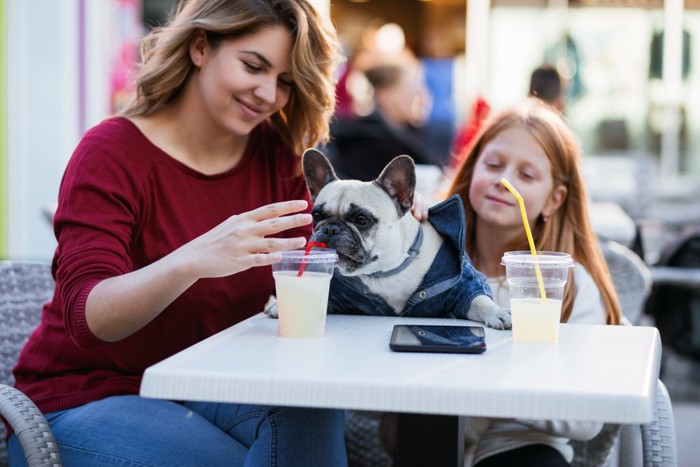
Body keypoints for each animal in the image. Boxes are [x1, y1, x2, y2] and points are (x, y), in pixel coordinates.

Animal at [266, 148, 512, 330]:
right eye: (317, 215)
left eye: (362, 219)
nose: (330, 229)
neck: (385, 272)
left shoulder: (461, 287)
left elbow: (478, 299)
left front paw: (497, 312)